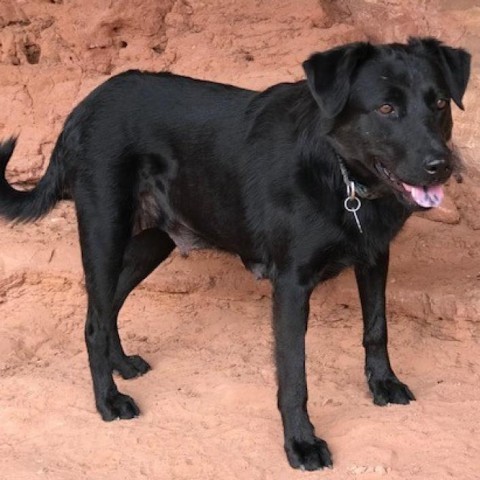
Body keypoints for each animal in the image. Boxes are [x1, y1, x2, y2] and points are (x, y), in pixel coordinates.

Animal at [0, 36, 470, 468]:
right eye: (386, 109)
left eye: (439, 103)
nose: (441, 165)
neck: (342, 177)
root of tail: (83, 106)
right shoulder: (291, 284)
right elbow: (294, 375)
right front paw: (301, 443)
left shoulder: (374, 258)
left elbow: (377, 329)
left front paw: (383, 384)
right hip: (104, 230)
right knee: (96, 321)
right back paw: (109, 400)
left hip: (151, 240)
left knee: (107, 306)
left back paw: (122, 365)